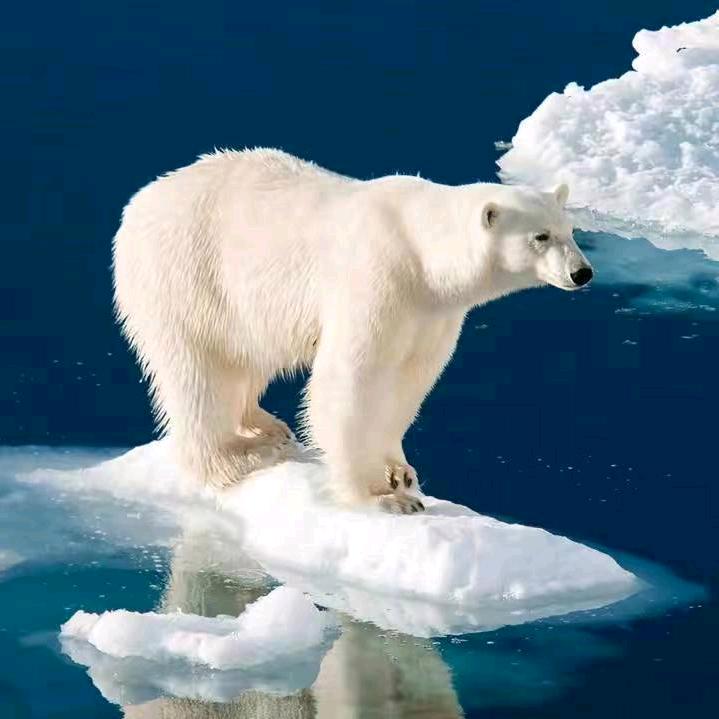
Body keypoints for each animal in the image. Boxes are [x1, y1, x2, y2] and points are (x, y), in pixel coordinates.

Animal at [112, 149, 592, 513]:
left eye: (571, 230)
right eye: (540, 237)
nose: (583, 273)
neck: (421, 252)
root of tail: (139, 202)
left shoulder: (432, 314)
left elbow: (410, 380)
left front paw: (399, 470)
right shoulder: (379, 279)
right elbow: (351, 381)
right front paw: (383, 497)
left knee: (248, 356)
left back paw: (266, 426)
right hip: (187, 276)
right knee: (200, 372)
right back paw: (241, 457)